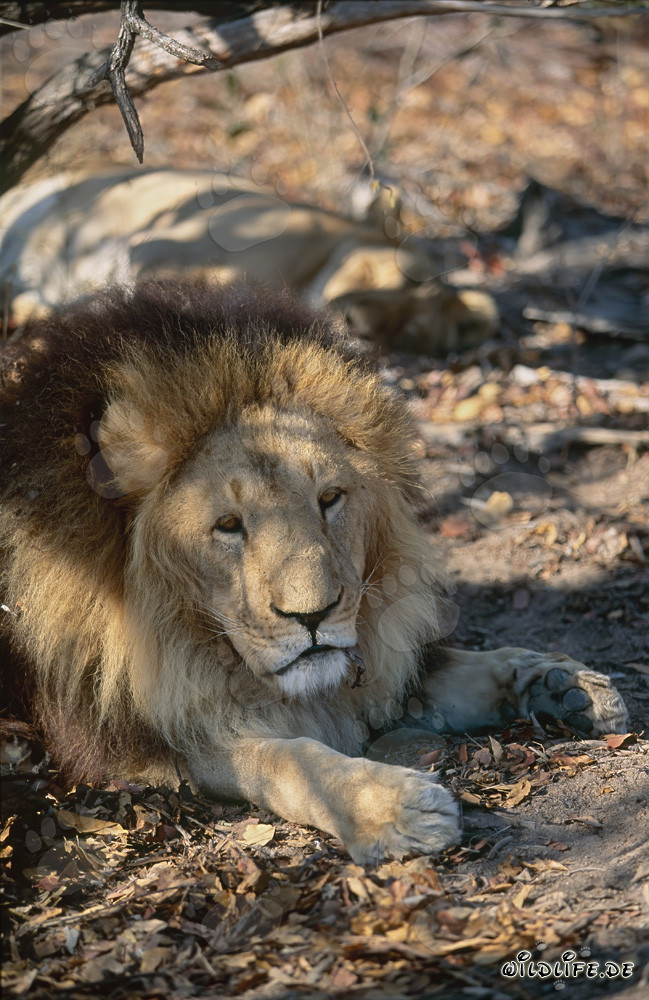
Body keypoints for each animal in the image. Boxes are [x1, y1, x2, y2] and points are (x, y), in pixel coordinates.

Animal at [0, 282, 627, 864]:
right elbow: (289, 759)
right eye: (228, 525)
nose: (314, 616)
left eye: (329, 498)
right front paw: (392, 808)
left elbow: (455, 668)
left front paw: (560, 682)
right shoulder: (160, 744)